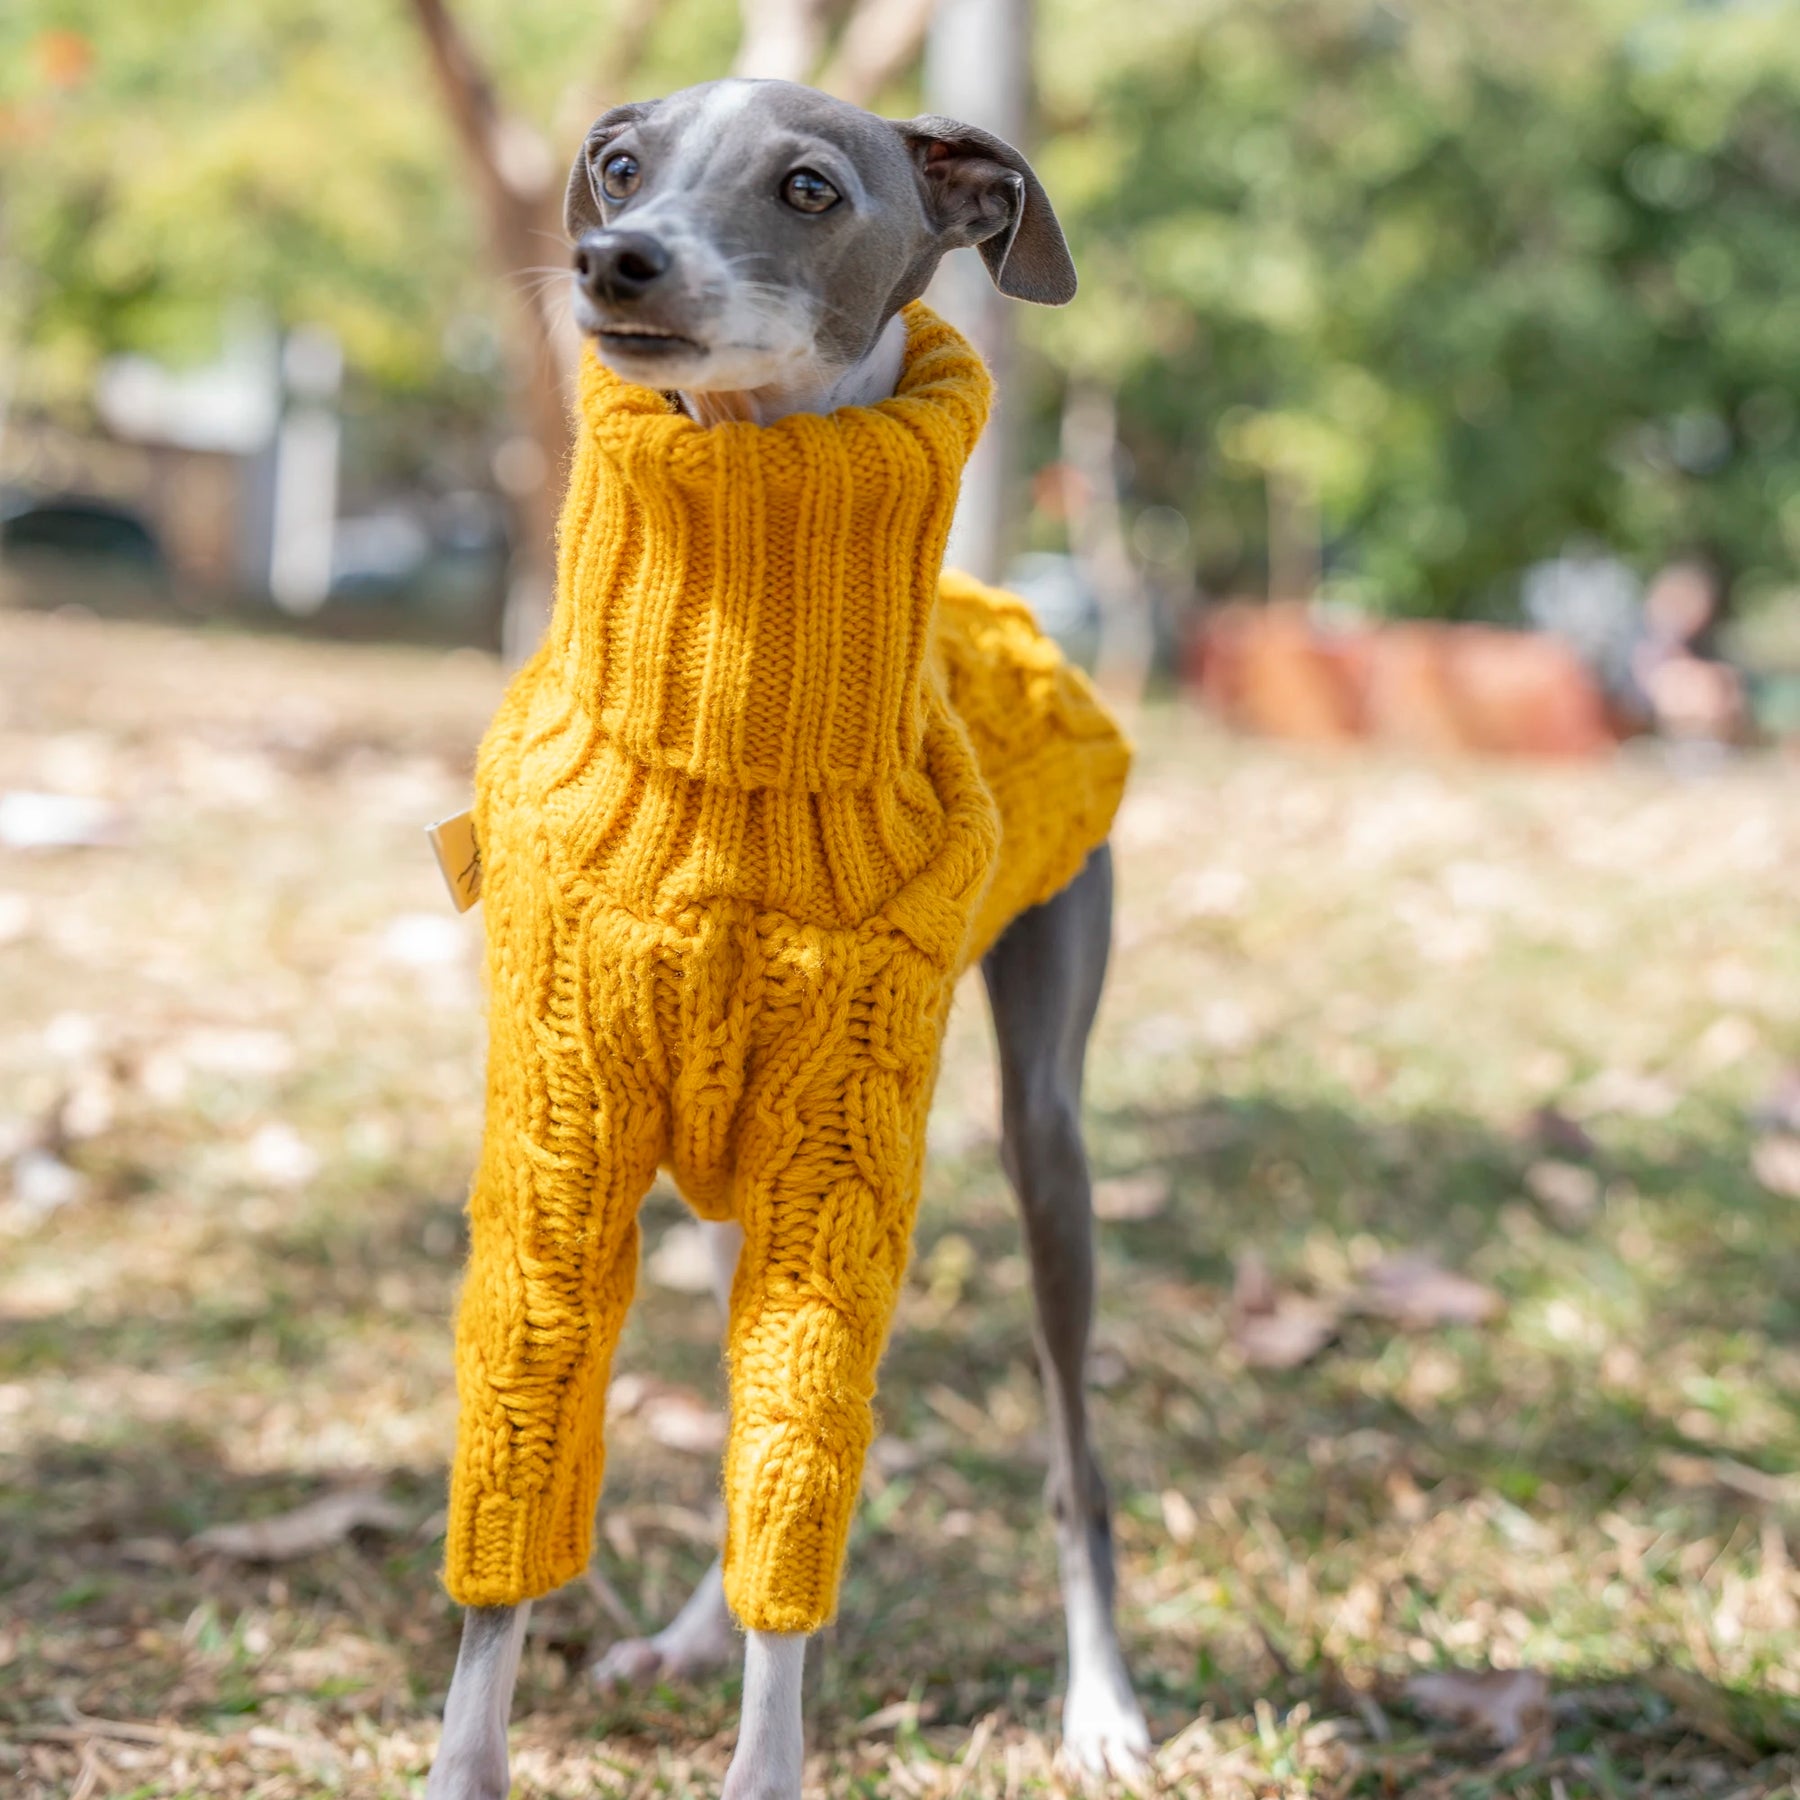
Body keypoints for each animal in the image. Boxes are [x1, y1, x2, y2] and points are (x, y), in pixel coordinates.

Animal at [428, 77, 1144, 1792]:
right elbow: (519, 1480)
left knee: (1062, 1462)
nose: (613, 259)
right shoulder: (566, 1143)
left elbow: (800, 1508)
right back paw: (687, 1632)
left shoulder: (844, 1143)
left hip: (1039, 1138)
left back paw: (1100, 1708)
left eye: (810, 186)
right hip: (735, 1191)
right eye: (621, 164)